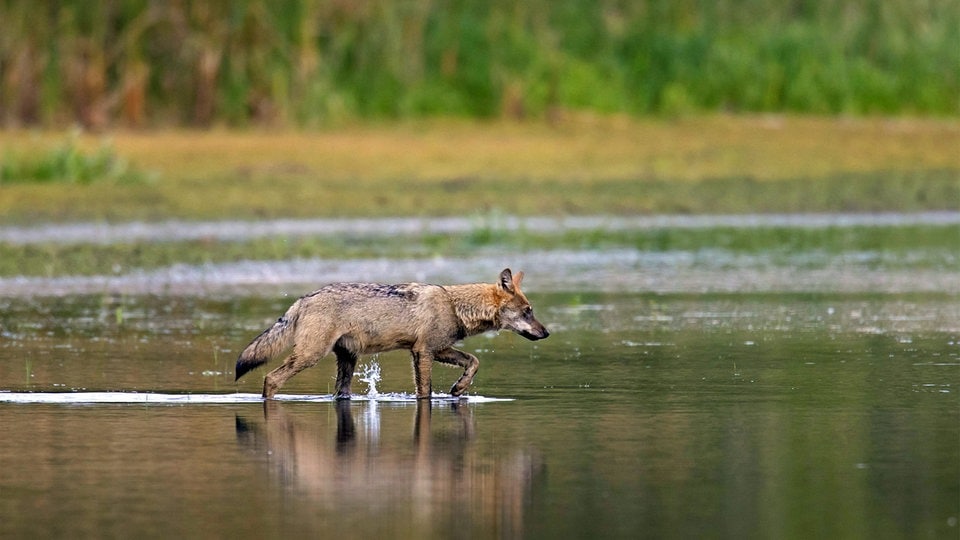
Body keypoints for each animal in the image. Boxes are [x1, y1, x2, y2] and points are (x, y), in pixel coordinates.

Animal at [234, 268, 548, 398]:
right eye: (528, 311)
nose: (546, 333)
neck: (454, 305)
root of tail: (304, 298)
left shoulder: (440, 349)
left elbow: (474, 361)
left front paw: (459, 388)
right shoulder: (423, 353)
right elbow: (425, 391)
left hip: (346, 364)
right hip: (310, 356)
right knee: (271, 379)